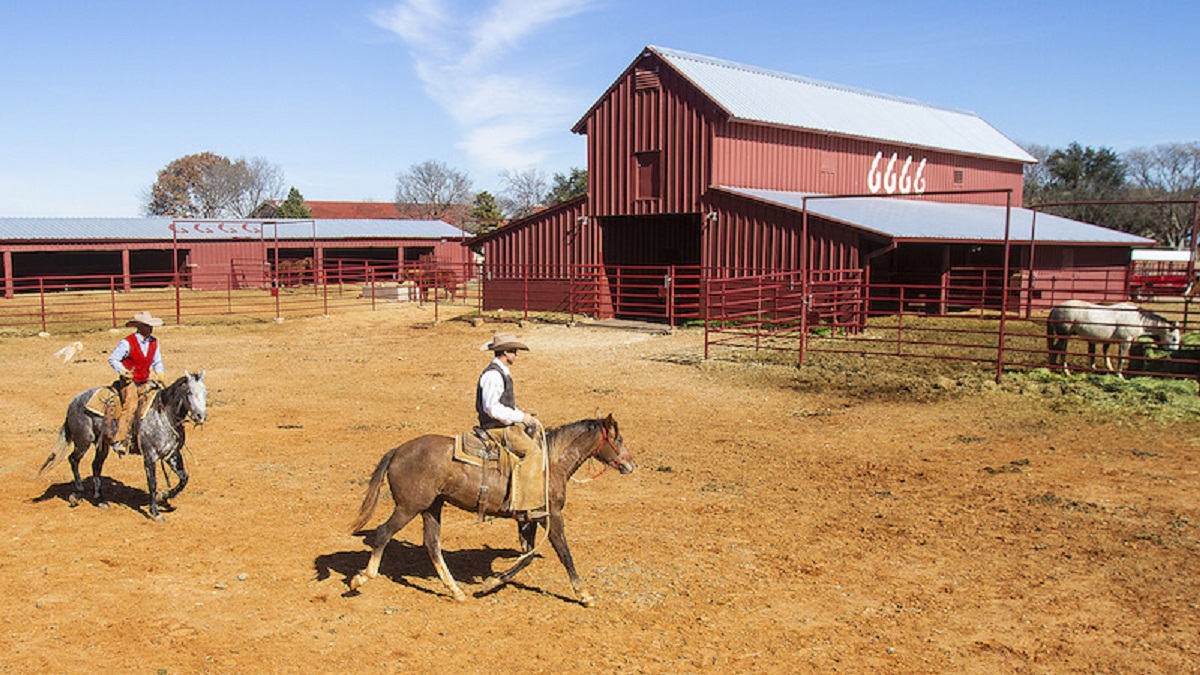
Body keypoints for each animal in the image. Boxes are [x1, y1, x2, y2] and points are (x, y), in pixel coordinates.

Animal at [38, 367, 208, 521]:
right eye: (189, 392)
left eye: (206, 393)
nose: (201, 416)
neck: (163, 414)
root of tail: (73, 402)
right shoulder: (150, 456)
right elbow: (152, 483)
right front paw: (155, 512)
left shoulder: (171, 454)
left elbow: (184, 478)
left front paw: (164, 496)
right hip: (83, 440)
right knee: (73, 460)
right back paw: (77, 493)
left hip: (102, 444)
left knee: (96, 465)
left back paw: (100, 499)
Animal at [350, 413, 638, 600]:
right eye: (618, 439)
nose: (630, 465)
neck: (550, 464)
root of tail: (397, 451)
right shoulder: (551, 515)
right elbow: (564, 552)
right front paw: (583, 593)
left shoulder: (528, 518)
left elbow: (527, 556)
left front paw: (490, 583)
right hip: (408, 507)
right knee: (383, 533)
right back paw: (361, 578)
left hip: (432, 507)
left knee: (432, 544)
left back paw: (456, 591)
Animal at [1051, 297, 1180, 372]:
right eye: (1174, 338)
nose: (1174, 351)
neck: (1137, 319)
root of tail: (1056, 308)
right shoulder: (1125, 341)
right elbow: (1122, 357)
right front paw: (1120, 375)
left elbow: (1106, 352)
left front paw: (1109, 368)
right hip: (1064, 335)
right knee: (1059, 349)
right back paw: (1065, 370)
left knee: (1057, 349)